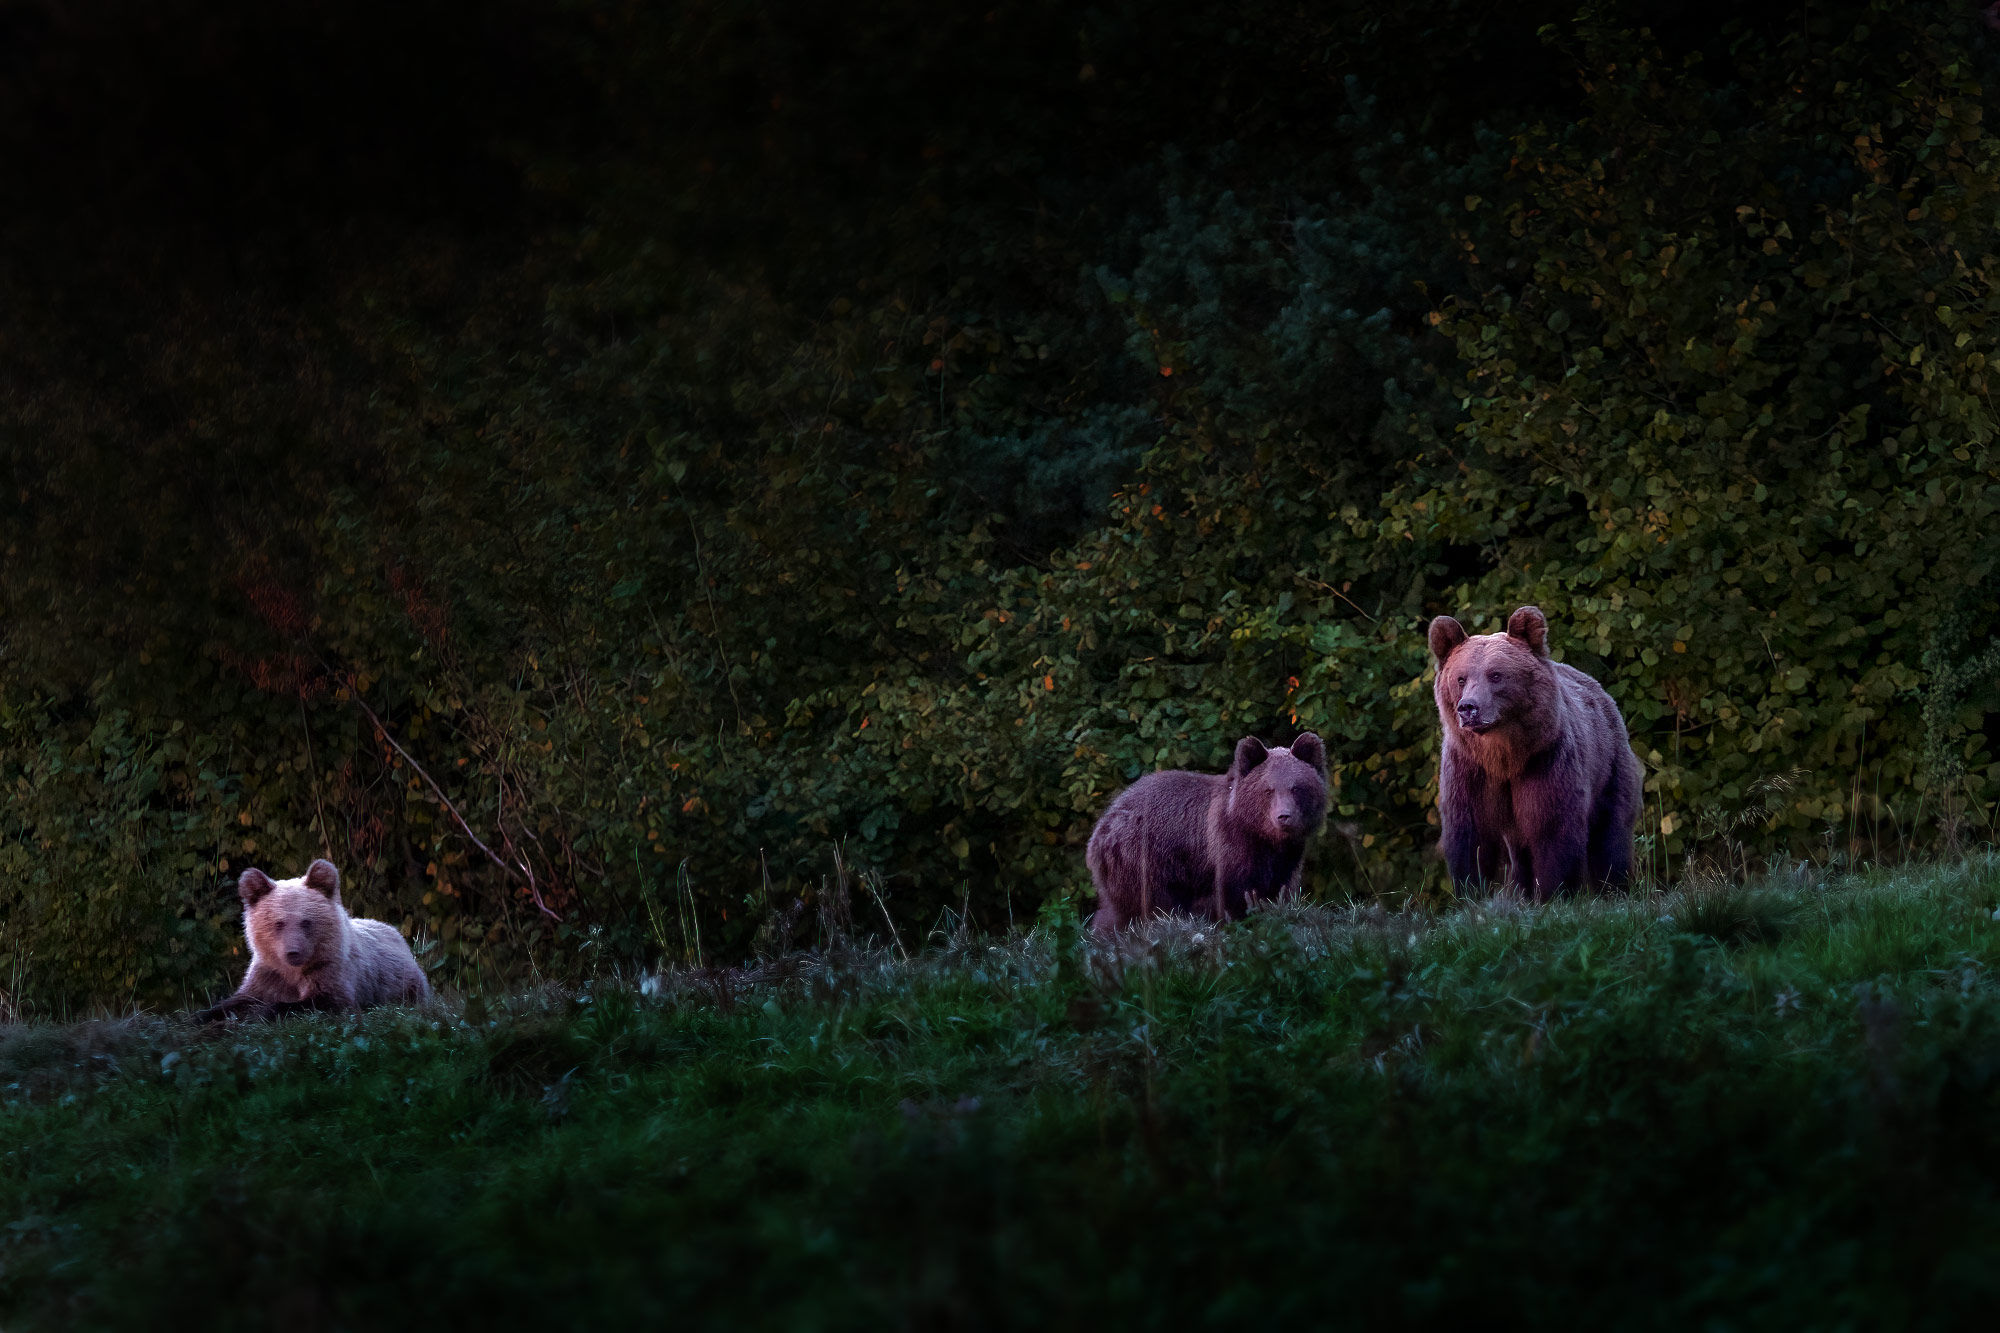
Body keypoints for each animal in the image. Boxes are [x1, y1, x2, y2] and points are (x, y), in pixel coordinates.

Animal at [195, 860, 430, 1016]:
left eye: (306, 921)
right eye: (278, 923)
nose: (293, 952)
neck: (293, 972)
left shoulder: (331, 970)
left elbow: (326, 1000)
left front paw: (267, 1010)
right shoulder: (268, 974)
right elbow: (240, 999)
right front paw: (201, 1015)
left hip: (406, 983)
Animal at [1088, 728, 1320, 932]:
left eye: (1296, 788)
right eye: (1268, 790)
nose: (1284, 816)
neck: (1260, 835)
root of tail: (1102, 824)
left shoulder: (1286, 858)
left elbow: (1277, 889)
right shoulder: (1229, 847)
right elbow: (1235, 895)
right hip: (1144, 858)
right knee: (1148, 905)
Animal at [1440, 604, 1640, 896]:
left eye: (1496, 675)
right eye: (1461, 678)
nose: (1468, 708)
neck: (1504, 757)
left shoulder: (1545, 762)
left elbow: (1553, 829)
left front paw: (1556, 893)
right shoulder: (1469, 770)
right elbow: (1470, 836)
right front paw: (1470, 892)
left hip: (1610, 767)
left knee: (1610, 832)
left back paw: (1614, 887)